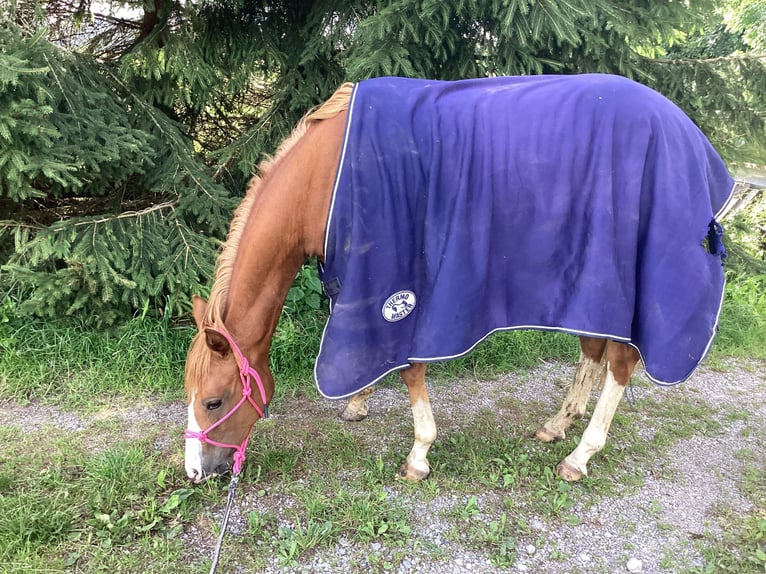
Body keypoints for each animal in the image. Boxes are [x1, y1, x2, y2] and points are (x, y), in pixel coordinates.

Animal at [183, 72, 736, 486]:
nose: (194, 471)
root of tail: (688, 134)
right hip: (594, 287)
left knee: (619, 364)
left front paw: (419, 453)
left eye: (214, 400)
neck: (325, 178)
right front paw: (359, 404)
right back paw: (558, 424)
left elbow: (410, 369)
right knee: (594, 349)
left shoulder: (399, 284)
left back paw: (579, 456)